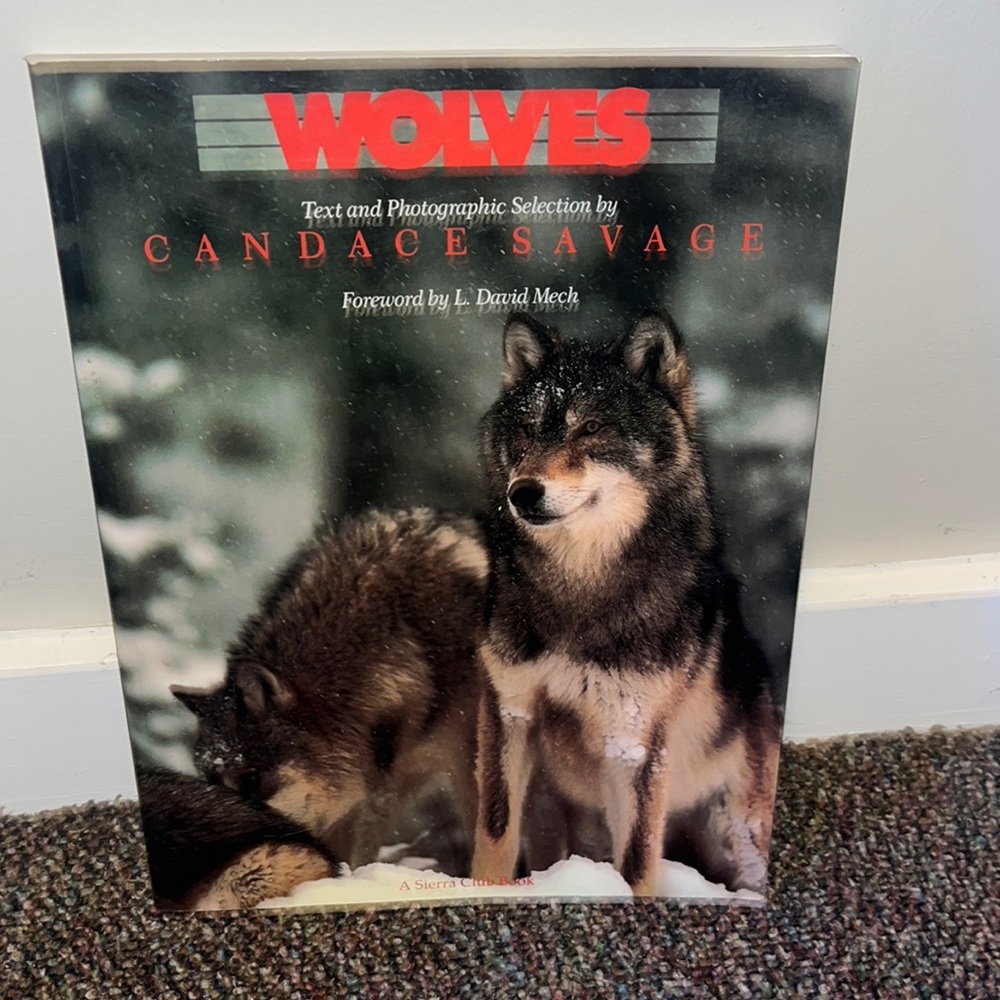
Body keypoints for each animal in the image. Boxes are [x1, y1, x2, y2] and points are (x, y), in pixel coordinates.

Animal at [472, 310, 782, 896]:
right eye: (528, 430)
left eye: (592, 428)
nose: (523, 492)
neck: (579, 591)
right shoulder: (510, 711)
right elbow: (494, 837)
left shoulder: (632, 740)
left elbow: (637, 862)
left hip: (738, 832)